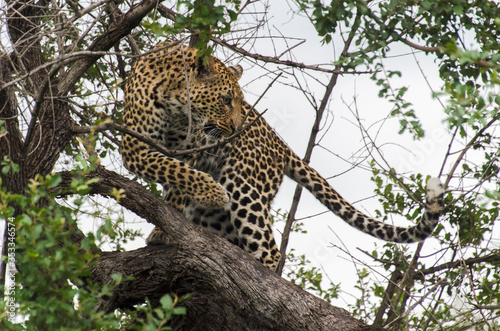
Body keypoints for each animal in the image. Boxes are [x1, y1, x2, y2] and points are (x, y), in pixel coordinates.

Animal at [121, 41, 446, 272]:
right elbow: (171, 169)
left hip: (245, 187)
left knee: (269, 251)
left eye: (239, 101)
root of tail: (278, 141)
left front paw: (173, 221)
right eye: (226, 100)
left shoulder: (187, 148)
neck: (175, 101)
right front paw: (190, 207)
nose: (237, 128)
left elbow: (177, 175)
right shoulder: (135, 145)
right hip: (224, 215)